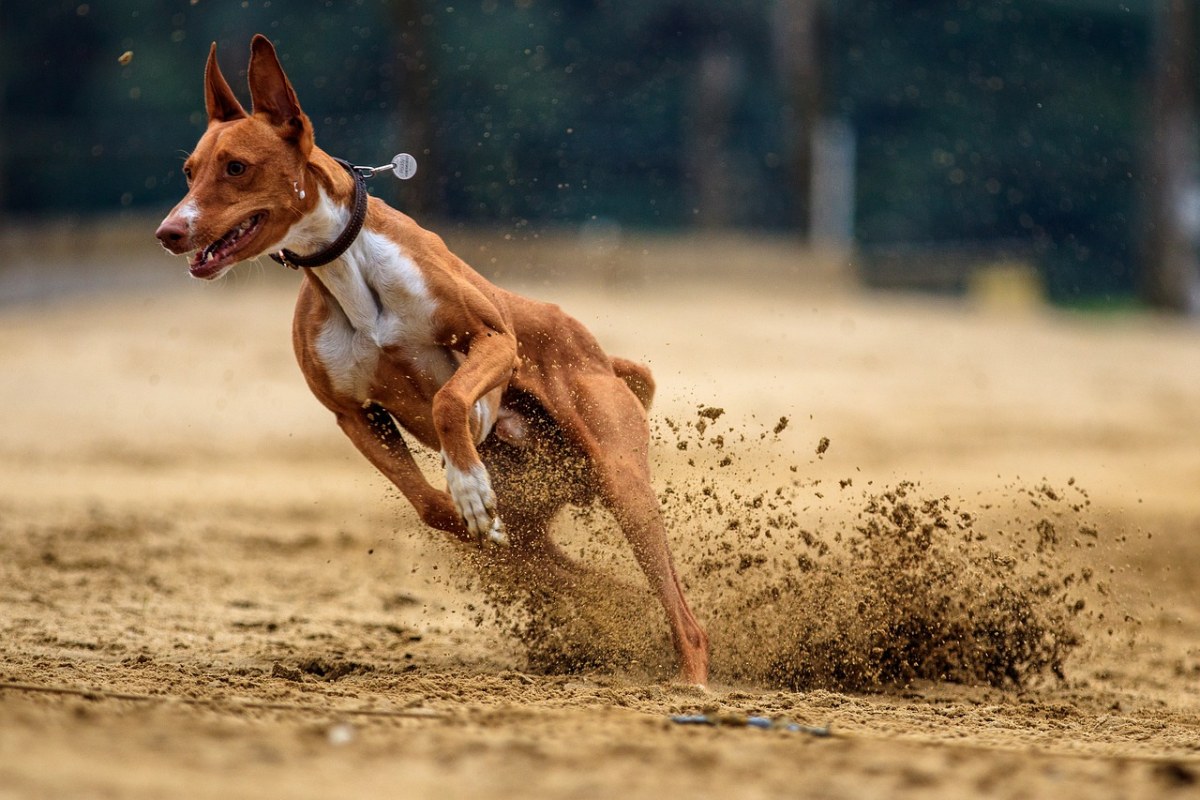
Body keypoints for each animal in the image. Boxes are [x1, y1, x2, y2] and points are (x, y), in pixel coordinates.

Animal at [154, 35, 705, 690]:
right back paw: (606, 596)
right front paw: (469, 506)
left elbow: (448, 399)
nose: (168, 232)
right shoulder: (353, 413)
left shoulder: (494, 340)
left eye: (236, 167)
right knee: (570, 569)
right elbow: (432, 507)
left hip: (621, 477)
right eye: (189, 171)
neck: (347, 266)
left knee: (679, 608)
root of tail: (596, 353)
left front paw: (466, 481)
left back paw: (691, 677)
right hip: (544, 507)